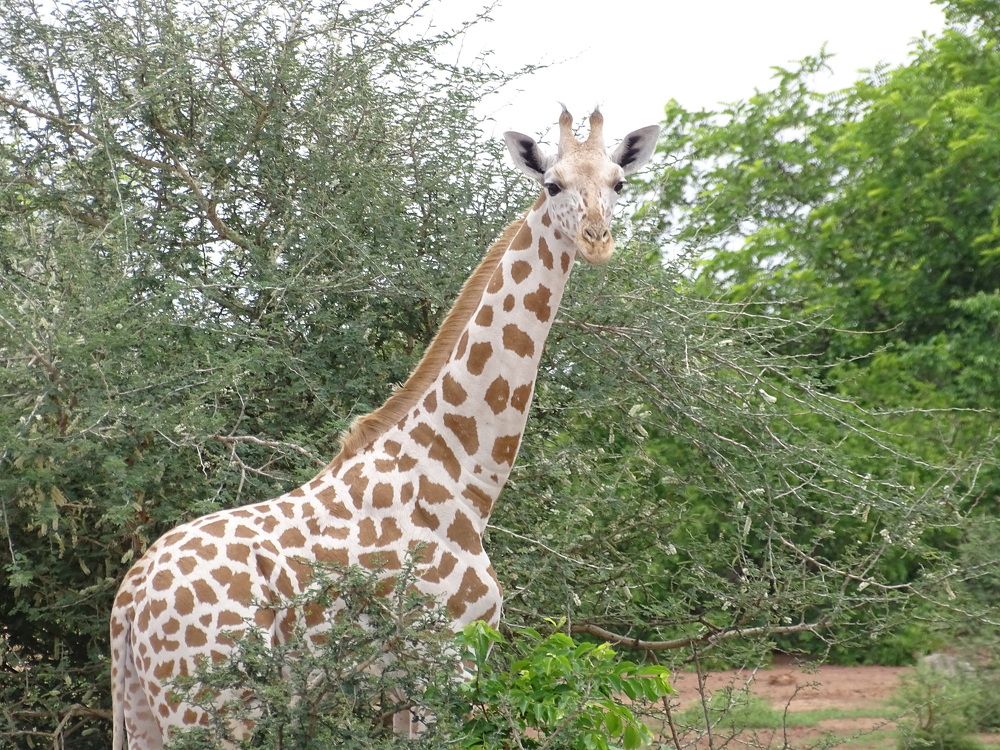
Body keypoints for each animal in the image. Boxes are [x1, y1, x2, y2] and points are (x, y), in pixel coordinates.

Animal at [109, 108, 660, 749]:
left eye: (619, 184)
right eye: (552, 185)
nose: (598, 241)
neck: (461, 474)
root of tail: (127, 604)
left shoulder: (403, 678)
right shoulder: (449, 654)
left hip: (147, 708)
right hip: (216, 706)